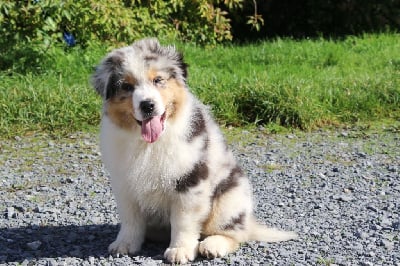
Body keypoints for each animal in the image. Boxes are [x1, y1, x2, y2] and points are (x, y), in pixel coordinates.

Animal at [91, 38, 296, 264]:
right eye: (127, 86)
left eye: (158, 80)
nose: (147, 105)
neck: (150, 144)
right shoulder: (124, 183)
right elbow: (130, 219)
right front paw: (124, 245)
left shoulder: (190, 180)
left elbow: (183, 221)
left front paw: (179, 251)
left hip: (230, 199)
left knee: (236, 234)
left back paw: (212, 245)